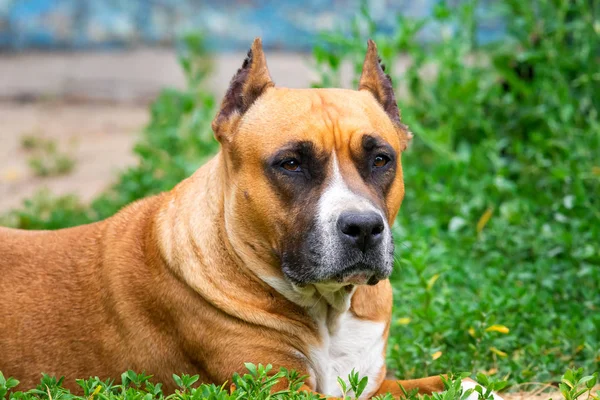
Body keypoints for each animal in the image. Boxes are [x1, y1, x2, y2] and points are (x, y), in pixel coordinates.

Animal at [0, 38, 500, 400]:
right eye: (291, 164)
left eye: (381, 159)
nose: (362, 227)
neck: (328, 313)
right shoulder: (275, 388)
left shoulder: (371, 384)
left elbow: (448, 383)